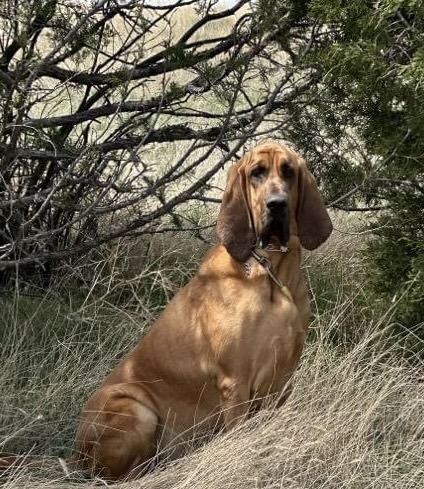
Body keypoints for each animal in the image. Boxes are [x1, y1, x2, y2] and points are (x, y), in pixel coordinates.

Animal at [72, 139, 332, 478]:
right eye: (257, 173)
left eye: (288, 171)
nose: (277, 204)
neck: (271, 273)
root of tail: (74, 453)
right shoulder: (236, 383)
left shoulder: (284, 378)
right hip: (138, 410)